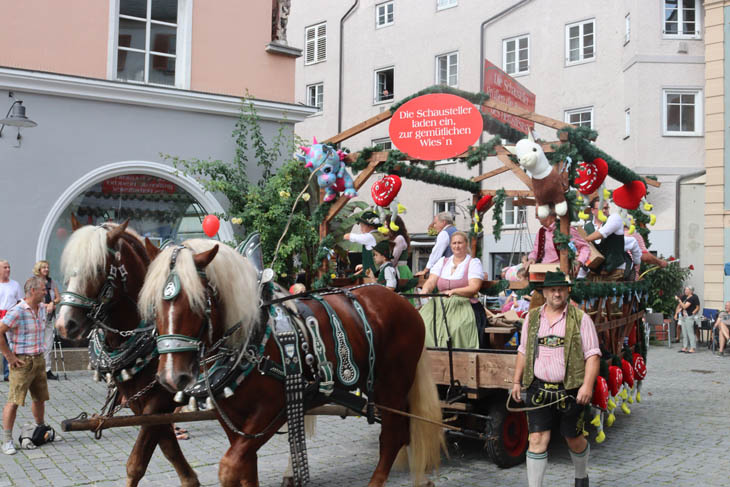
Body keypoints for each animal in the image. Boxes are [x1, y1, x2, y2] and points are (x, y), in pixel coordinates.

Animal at [54, 222, 199, 487]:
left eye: (97, 268)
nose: (63, 324)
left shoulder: (159, 400)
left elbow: (137, 462)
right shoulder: (141, 405)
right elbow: (168, 448)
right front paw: (190, 479)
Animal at [138, 241, 444, 487]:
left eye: (198, 302)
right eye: (153, 305)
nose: (171, 376)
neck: (252, 338)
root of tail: (402, 302)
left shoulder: (274, 409)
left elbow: (229, 468)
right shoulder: (232, 417)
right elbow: (246, 468)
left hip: (391, 385)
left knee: (392, 436)